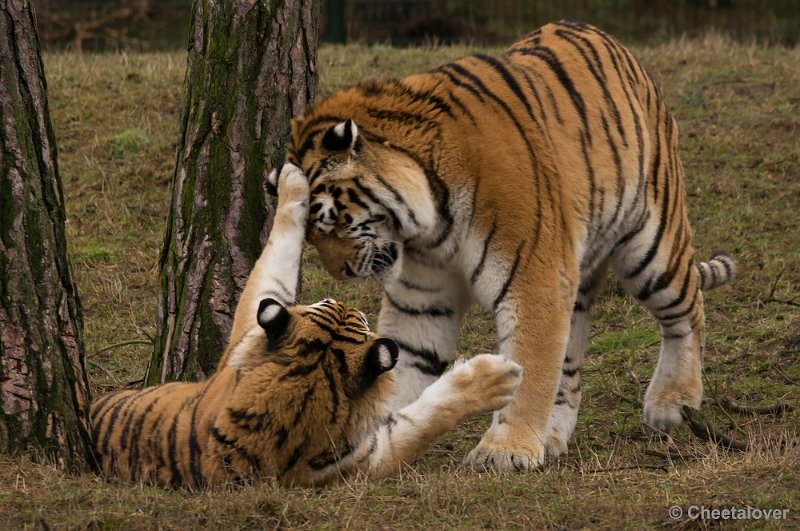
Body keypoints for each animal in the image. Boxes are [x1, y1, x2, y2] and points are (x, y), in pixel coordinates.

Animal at [286, 19, 736, 474]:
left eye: (330, 221)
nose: (339, 271)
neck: (429, 223)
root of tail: (611, 41)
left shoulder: (534, 279)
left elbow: (529, 367)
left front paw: (505, 451)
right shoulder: (423, 297)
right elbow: (406, 360)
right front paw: (374, 437)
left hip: (651, 244)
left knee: (688, 310)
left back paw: (673, 401)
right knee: (569, 364)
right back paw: (552, 436)